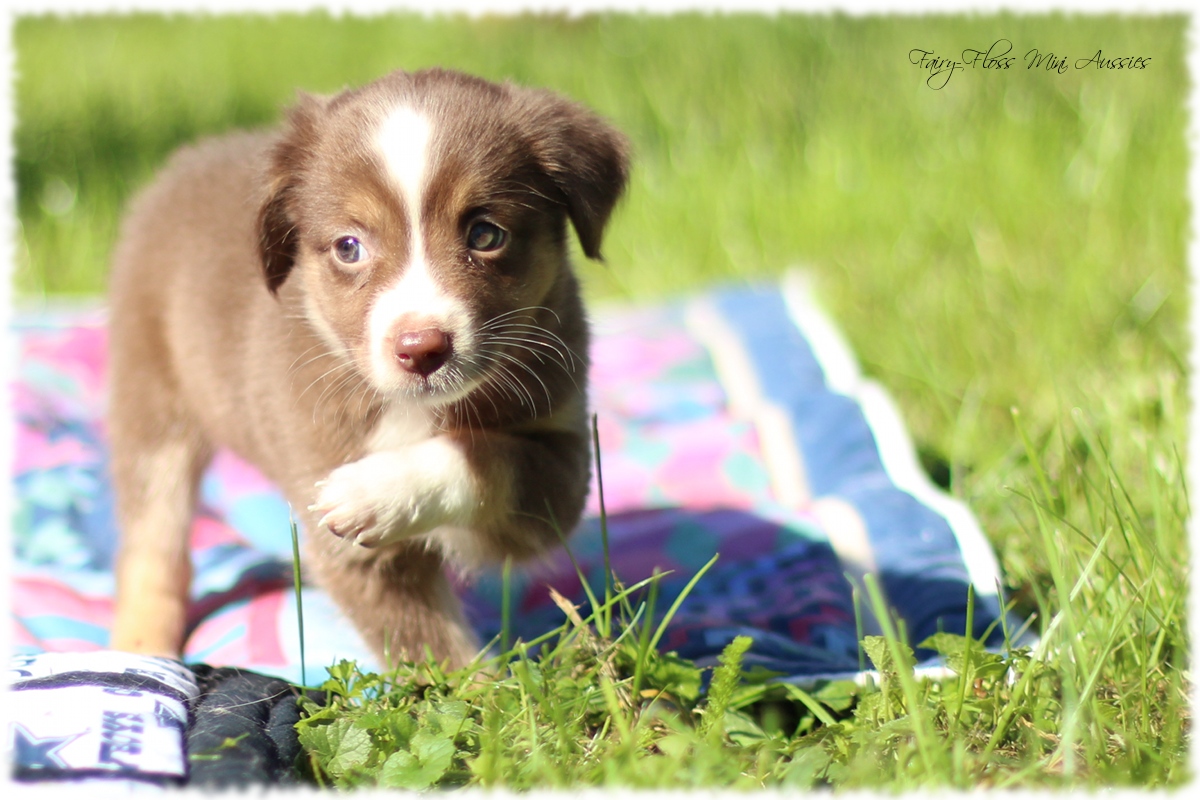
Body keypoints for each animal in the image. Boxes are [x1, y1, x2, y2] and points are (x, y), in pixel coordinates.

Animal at [105, 68, 628, 671]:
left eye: (486, 234)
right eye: (349, 247)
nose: (422, 348)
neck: (418, 411)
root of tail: (184, 162)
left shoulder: (564, 466)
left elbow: (485, 454)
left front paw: (376, 491)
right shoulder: (344, 522)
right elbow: (432, 656)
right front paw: (481, 696)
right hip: (150, 397)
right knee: (154, 543)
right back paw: (138, 652)